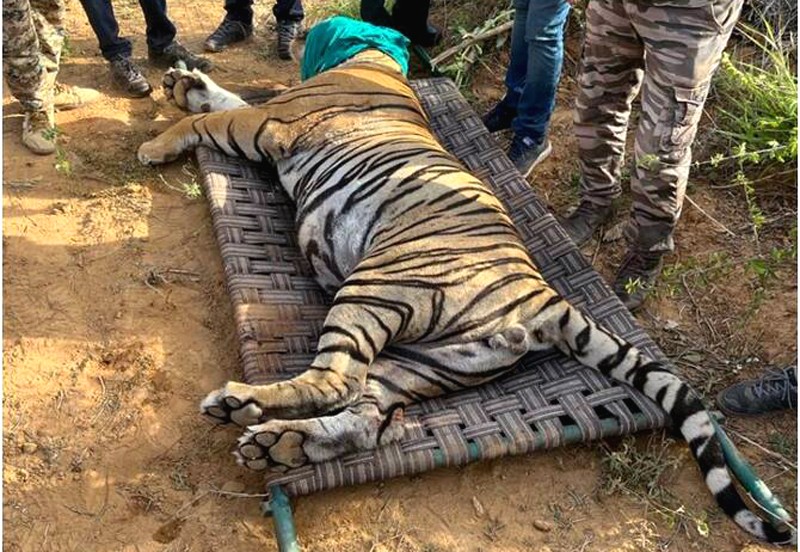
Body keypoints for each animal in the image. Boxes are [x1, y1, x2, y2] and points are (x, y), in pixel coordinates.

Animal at [137, 16, 794, 545]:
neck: (373, 60)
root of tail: (540, 296)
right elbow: (220, 99)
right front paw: (186, 84)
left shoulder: (268, 121)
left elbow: (220, 116)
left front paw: (157, 141)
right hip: (424, 362)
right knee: (366, 420)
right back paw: (277, 442)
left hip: (376, 289)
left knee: (335, 381)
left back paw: (241, 407)